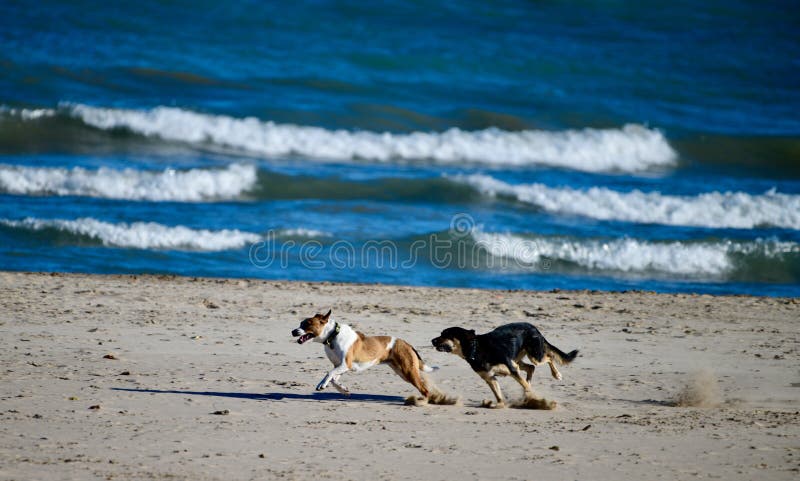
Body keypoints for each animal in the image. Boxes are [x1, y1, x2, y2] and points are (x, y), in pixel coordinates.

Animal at [292, 308, 446, 402]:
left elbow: (328, 374)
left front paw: (321, 384)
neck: (333, 336)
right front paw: (343, 390)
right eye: (300, 323)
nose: (293, 331)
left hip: (408, 371)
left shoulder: (345, 364)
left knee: (424, 389)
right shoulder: (340, 366)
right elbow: (334, 379)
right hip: (403, 372)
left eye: (307, 324)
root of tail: (406, 343)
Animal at [432, 320, 576, 406]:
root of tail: (533, 326)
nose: (432, 340)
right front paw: (500, 405)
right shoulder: (490, 377)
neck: (476, 349)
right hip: (517, 360)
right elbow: (498, 394)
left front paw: (533, 397)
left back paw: (556, 375)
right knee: (531, 368)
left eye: (445, 334)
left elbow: (524, 385)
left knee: (548, 357)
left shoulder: (512, 370)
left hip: (533, 356)